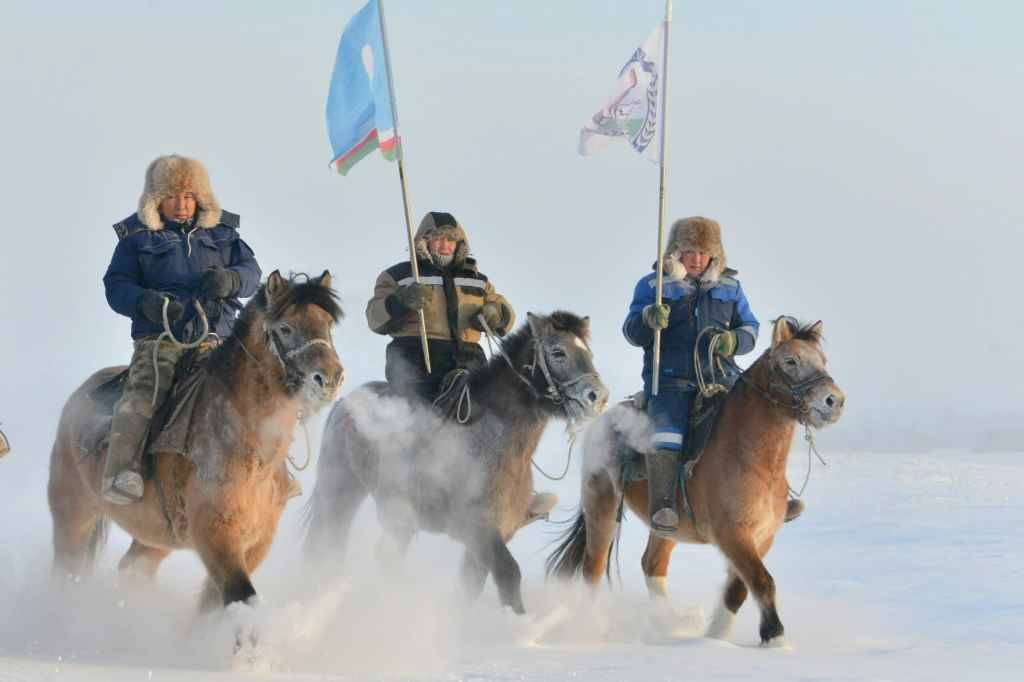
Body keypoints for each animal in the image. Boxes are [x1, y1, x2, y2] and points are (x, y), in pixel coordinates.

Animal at [48, 270, 346, 610]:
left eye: (327, 324)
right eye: (285, 327)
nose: (330, 379)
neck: (251, 455)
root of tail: (79, 396)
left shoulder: (256, 543)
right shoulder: (216, 536)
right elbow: (241, 598)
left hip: (156, 537)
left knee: (131, 567)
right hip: (73, 513)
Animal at [303, 311, 606, 614]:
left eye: (589, 353)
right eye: (558, 352)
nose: (598, 397)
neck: (493, 439)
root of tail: (345, 401)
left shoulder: (494, 535)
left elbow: (471, 586)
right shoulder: (478, 530)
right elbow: (509, 573)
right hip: (341, 491)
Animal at [548, 315, 843, 638]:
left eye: (823, 360)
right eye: (791, 360)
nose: (834, 401)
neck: (750, 456)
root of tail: (603, 421)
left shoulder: (762, 537)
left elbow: (738, 590)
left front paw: (716, 638)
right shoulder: (733, 535)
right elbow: (762, 581)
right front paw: (775, 637)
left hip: (666, 527)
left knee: (652, 564)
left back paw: (669, 623)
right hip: (601, 507)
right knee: (594, 567)